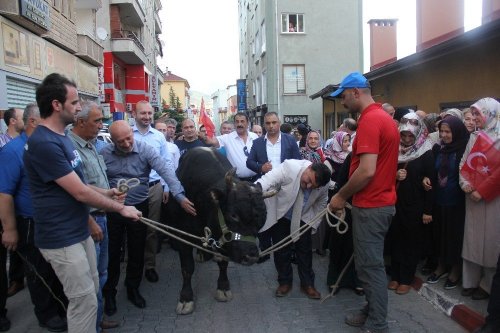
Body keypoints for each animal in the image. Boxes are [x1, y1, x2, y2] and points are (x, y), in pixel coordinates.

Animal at [167, 147, 270, 312]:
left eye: (263, 217)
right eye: (233, 215)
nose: (251, 257)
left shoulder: (224, 239)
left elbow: (223, 262)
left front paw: (223, 288)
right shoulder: (183, 233)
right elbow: (187, 267)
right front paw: (186, 298)